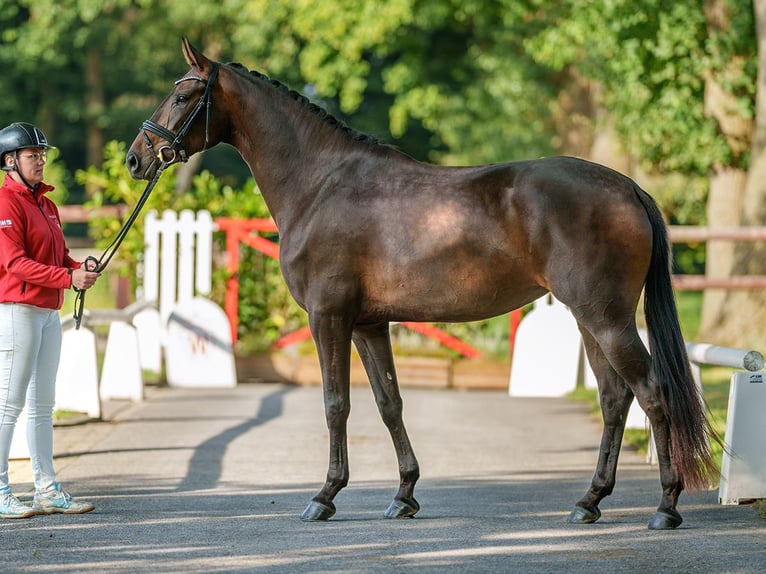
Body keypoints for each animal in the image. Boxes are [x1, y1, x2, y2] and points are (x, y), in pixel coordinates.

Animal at [126, 39, 720, 532]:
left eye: (184, 95)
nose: (136, 157)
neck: (320, 185)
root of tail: (627, 188)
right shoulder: (368, 323)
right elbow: (389, 402)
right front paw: (405, 494)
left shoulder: (328, 317)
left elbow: (335, 403)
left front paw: (324, 496)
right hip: (590, 320)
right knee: (616, 399)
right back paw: (589, 501)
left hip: (606, 318)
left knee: (653, 393)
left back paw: (666, 507)